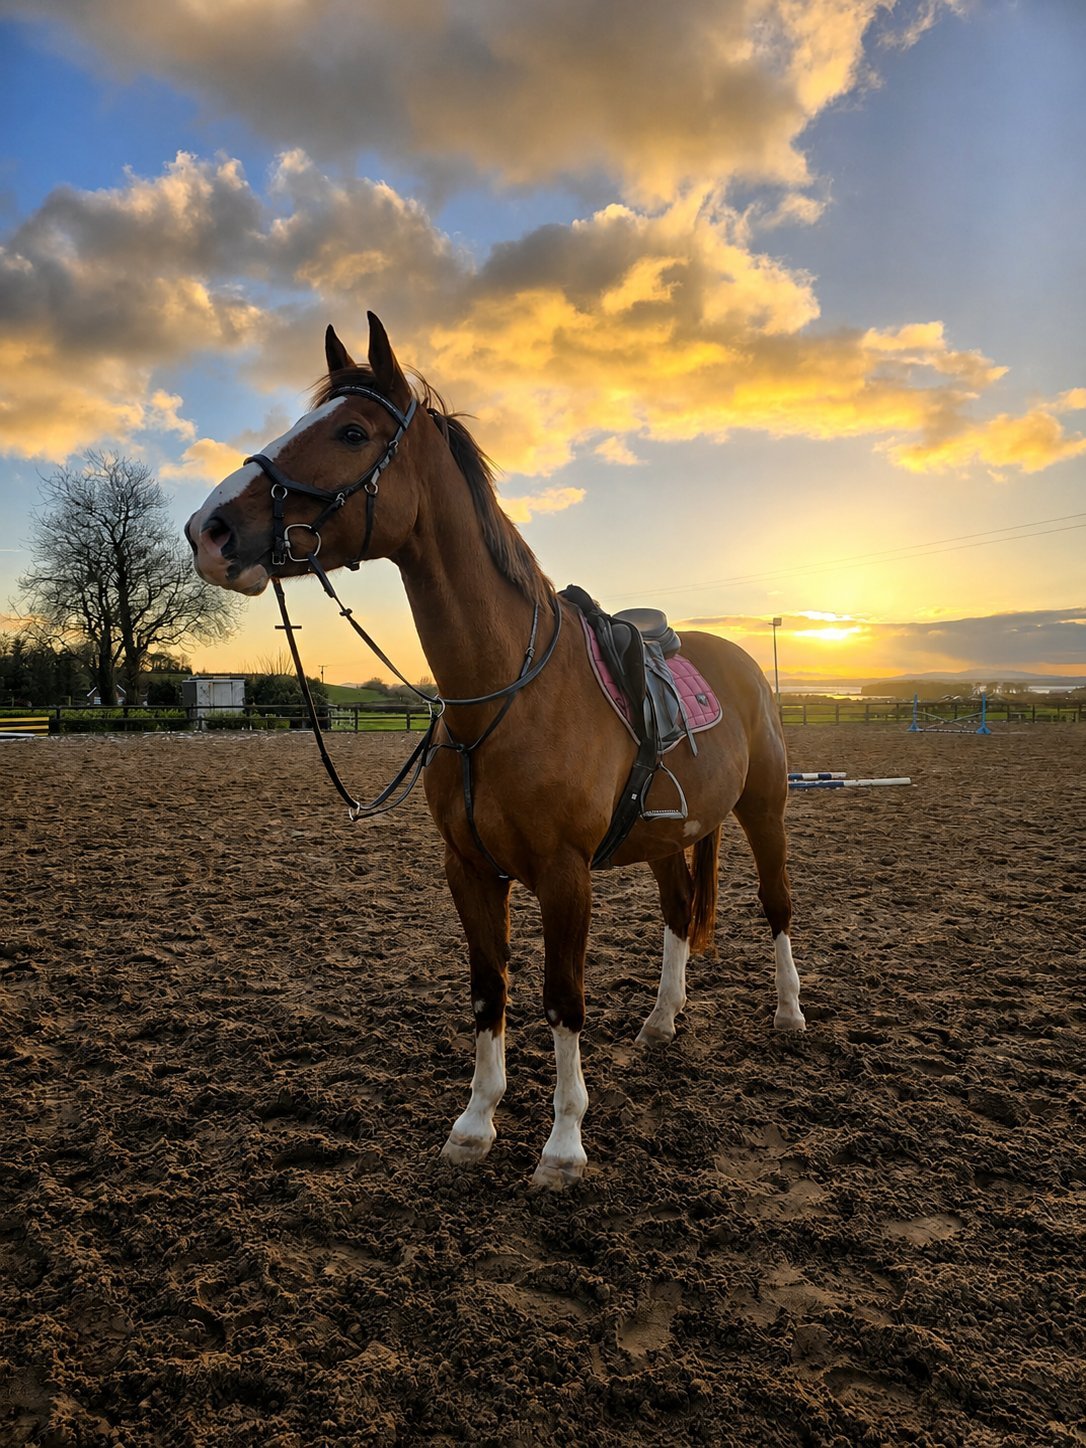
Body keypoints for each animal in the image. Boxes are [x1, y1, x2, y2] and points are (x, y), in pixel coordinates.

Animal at [185, 311, 805, 1190]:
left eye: (350, 431)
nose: (209, 529)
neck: (506, 696)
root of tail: (743, 663)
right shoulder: (470, 870)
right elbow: (489, 990)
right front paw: (475, 1124)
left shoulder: (565, 875)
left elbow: (561, 997)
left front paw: (563, 1144)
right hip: (665, 840)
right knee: (681, 911)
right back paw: (661, 1020)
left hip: (765, 811)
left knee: (777, 906)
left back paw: (789, 1012)